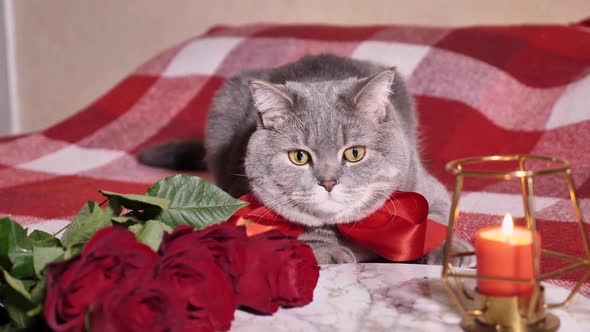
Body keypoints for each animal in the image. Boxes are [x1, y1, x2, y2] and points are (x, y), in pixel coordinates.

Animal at [140, 54, 476, 268]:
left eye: (355, 153)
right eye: (299, 157)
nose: (328, 181)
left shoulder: (426, 188)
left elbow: (436, 219)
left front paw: (453, 252)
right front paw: (325, 249)